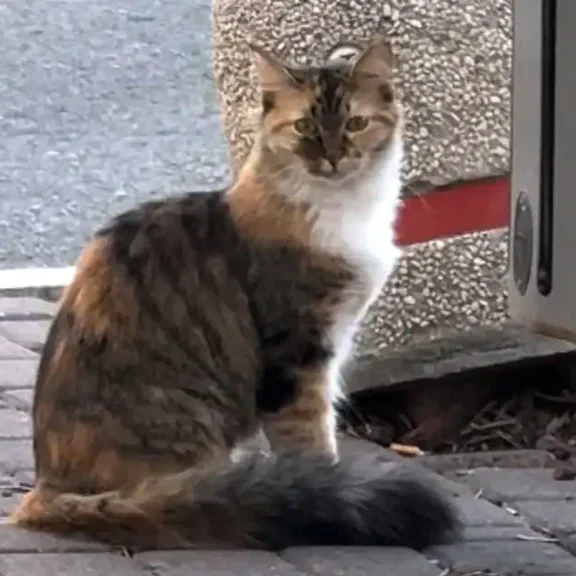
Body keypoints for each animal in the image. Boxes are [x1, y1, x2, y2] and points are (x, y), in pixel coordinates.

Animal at [11, 37, 460, 550]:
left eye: (355, 124)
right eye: (305, 126)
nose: (331, 157)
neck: (343, 209)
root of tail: (46, 488)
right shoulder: (300, 356)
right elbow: (313, 440)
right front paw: (326, 484)